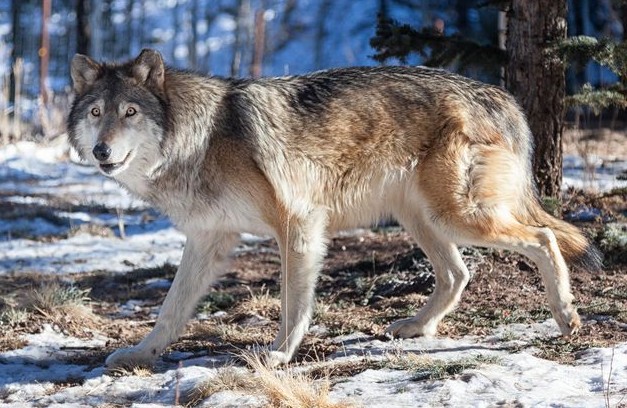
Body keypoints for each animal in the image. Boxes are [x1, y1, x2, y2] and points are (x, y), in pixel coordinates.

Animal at [66, 48, 600, 370]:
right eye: (96, 113)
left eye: (130, 113)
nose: (101, 152)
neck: (200, 140)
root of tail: (502, 97)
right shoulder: (208, 240)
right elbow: (170, 310)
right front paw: (141, 353)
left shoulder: (299, 225)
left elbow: (293, 306)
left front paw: (280, 355)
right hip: (421, 219)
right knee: (458, 274)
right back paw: (417, 327)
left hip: (458, 217)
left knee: (544, 238)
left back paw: (567, 317)